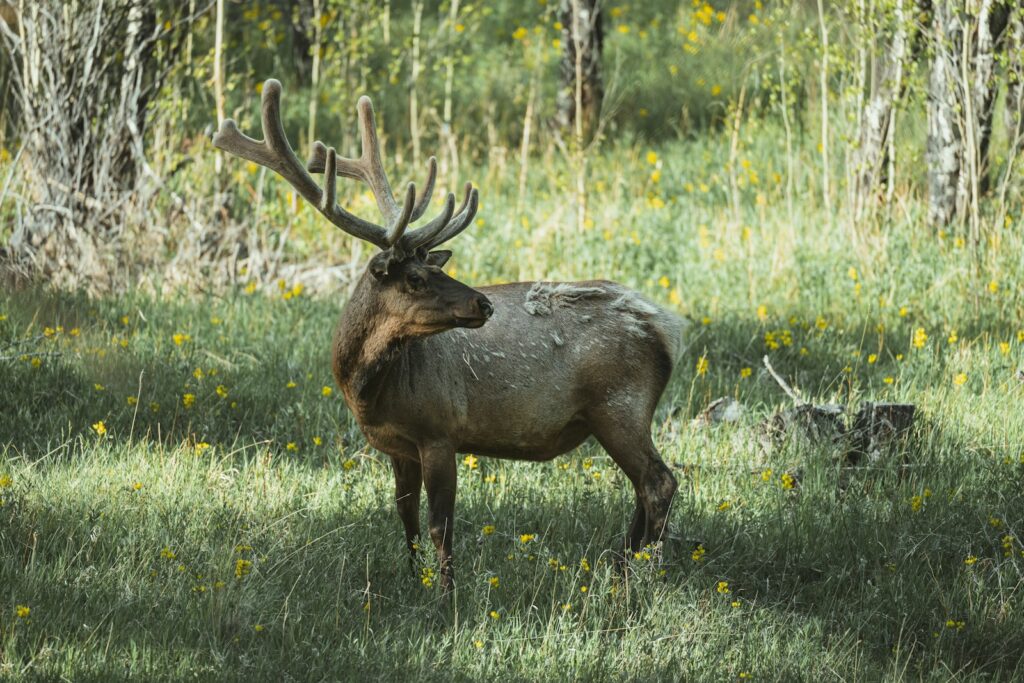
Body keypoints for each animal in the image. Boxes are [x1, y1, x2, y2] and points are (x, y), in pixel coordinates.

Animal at [214, 79, 686, 594]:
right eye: (416, 278)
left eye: (432, 270)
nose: (483, 303)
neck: (368, 391)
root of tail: (665, 328)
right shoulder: (396, 446)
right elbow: (405, 514)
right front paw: (411, 577)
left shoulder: (440, 431)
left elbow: (441, 523)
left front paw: (447, 593)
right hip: (619, 413)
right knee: (643, 486)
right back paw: (621, 565)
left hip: (619, 405)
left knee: (659, 482)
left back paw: (638, 574)